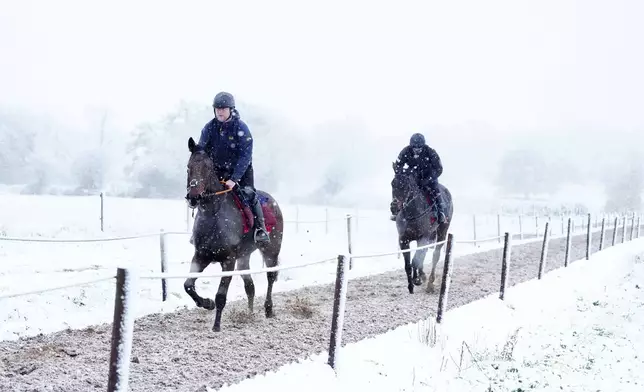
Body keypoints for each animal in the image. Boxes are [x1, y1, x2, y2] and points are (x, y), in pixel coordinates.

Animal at [181, 136, 282, 332]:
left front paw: (216, 325)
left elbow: (221, 295)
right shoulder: (200, 256)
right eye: (189, 167)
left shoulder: (228, 260)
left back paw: (268, 309)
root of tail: (273, 201)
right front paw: (207, 303)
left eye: (207, 168)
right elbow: (188, 285)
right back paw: (250, 313)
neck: (213, 214)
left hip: (271, 251)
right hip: (243, 258)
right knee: (249, 285)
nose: (193, 197)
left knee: (270, 277)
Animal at [388, 162, 452, 294]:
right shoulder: (403, 240)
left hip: (442, 232)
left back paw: (430, 283)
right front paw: (411, 285)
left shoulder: (423, 237)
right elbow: (408, 264)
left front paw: (416, 280)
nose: (394, 206)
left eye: (406, 185)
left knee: (435, 255)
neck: (412, 214)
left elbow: (415, 260)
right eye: (392, 183)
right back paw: (422, 275)